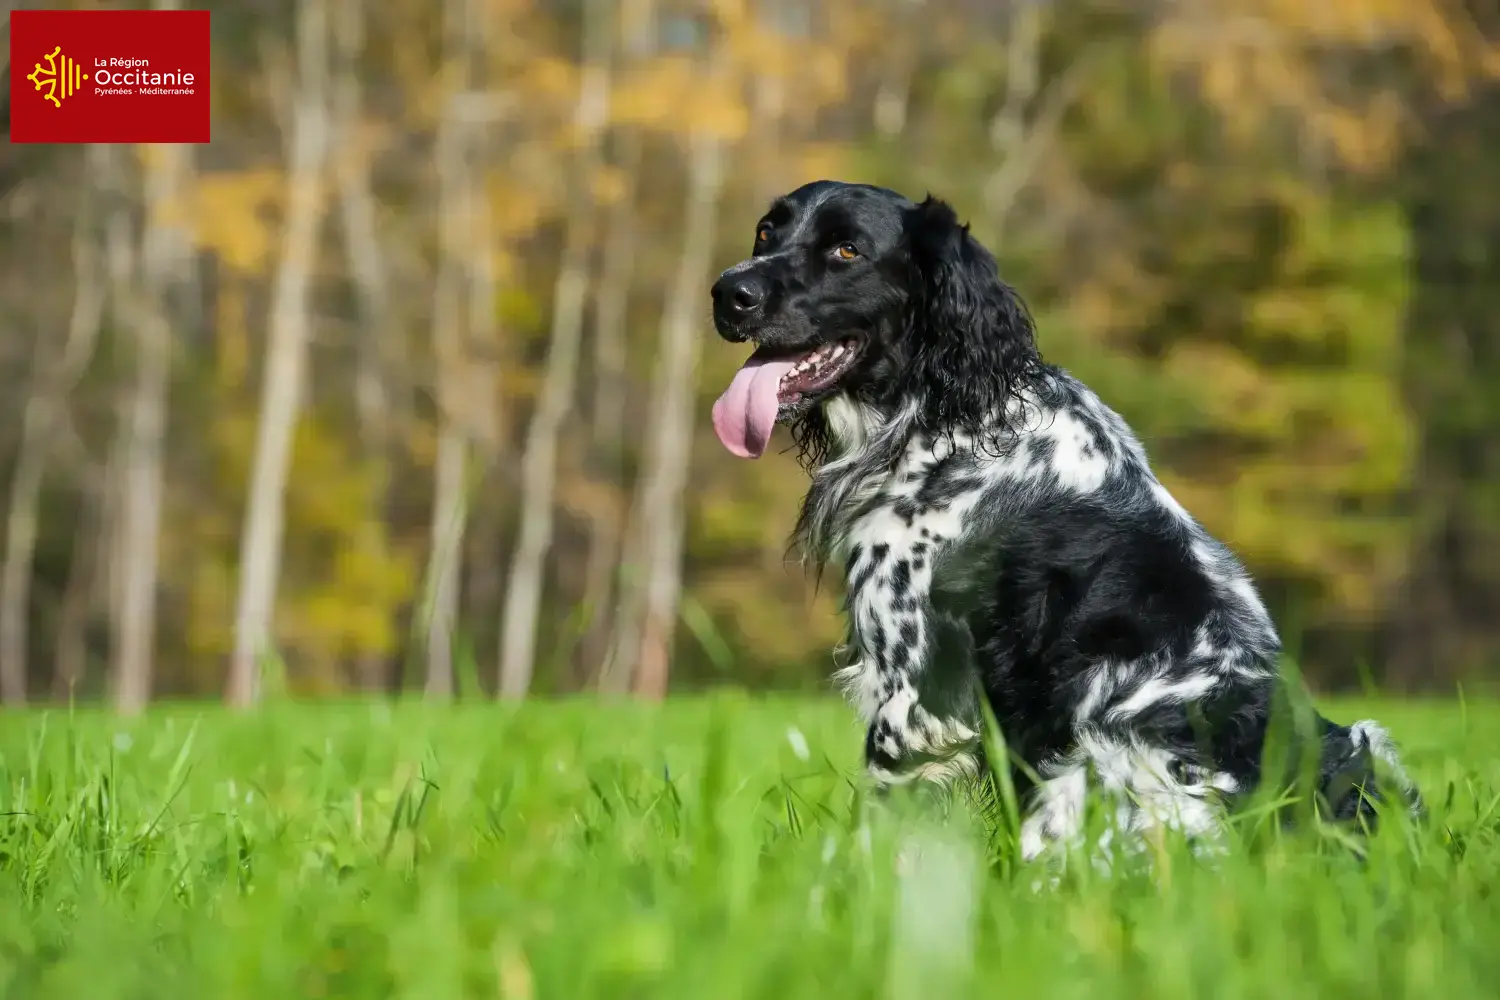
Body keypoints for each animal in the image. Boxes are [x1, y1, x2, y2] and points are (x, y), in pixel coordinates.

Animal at [711, 179, 1416, 863]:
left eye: (846, 250)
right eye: (767, 232)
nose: (728, 292)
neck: (945, 411)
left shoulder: (914, 689)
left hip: (1091, 768)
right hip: (1368, 743)